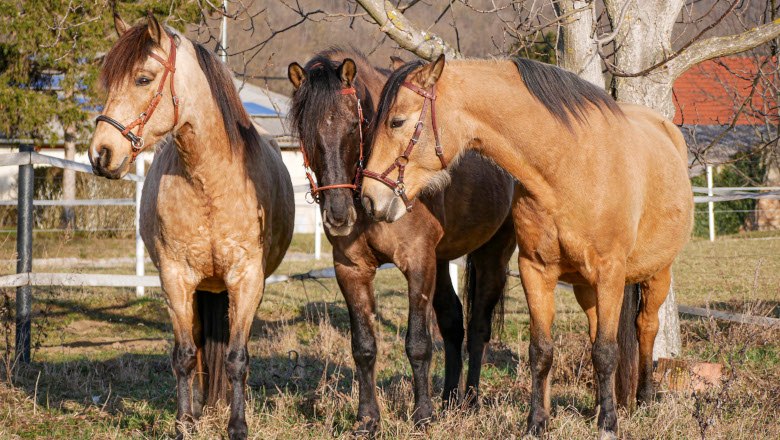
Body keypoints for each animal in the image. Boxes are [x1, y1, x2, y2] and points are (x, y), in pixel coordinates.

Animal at [86, 14, 292, 440]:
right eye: (109, 81)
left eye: (143, 78)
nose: (101, 154)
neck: (209, 180)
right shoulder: (175, 278)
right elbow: (184, 355)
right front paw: (184, 424)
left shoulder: (246, 279)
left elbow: (236, 358)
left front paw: (237, 426)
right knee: (198, 349)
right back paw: (201, 408)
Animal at [288, 49, 516, 434]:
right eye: (304, 131)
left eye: (353, 126)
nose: (339, 215)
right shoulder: (351, 270)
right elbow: (364, 346)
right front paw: (367, 419)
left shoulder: (417, 261)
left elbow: (419, 344)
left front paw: (422, 415)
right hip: (442, 260)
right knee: (453, 322)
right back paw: (449, 400)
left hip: (492, 255)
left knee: (478, 328)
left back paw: (469, 402)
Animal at [360, 55, 696, 436]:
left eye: (397, 121)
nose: (369, 199)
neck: (568, 166)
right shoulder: (536, 271)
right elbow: (542, 351)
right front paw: (537, 421)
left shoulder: (610, 272)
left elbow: (607, 351)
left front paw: (609, 425)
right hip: (586, 288)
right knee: (596, 330)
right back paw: (599, 404)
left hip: (657, 274)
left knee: (645, 328)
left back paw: (644, 399)